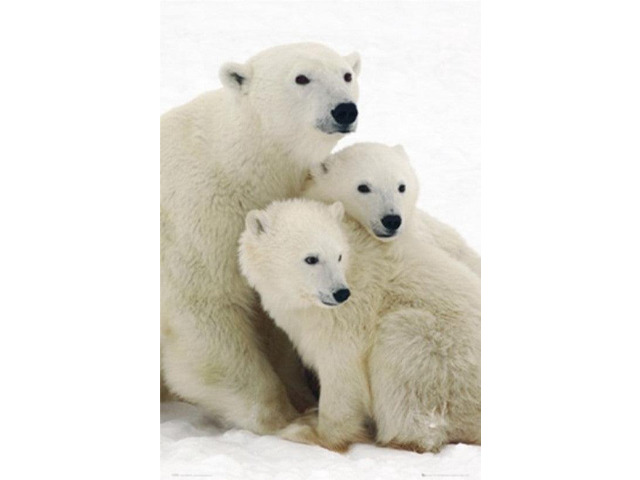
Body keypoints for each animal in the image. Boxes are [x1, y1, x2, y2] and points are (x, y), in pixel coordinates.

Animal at [161, 42, 361, 434]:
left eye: (347, 74)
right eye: (301, 77)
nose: (345, 109)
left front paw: (302, 397)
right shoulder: (197, 221)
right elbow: (205, 313)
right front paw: (285, 420)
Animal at [238, 196, 481, 452]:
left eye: (338, 255)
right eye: (311, 258)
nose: (340, 293)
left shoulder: (348, 318)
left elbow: (341, 369)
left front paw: (311, 432)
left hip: (440, 357)